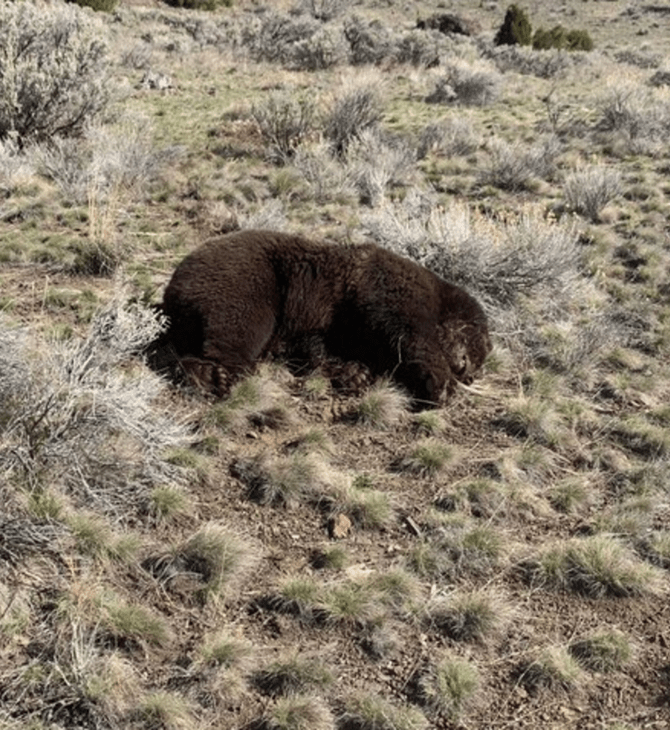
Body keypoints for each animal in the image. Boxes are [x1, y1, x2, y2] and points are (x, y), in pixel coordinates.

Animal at [150, 230, 490, 406]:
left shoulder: (340, 328)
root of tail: (172, 285)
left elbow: (325, 350)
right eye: (477, 351)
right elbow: (410, 334)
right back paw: (215, 375)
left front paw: (355, 374)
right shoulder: (389, 289)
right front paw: (441, 385)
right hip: (249, 278)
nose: (470, 374)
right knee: (238, 325)